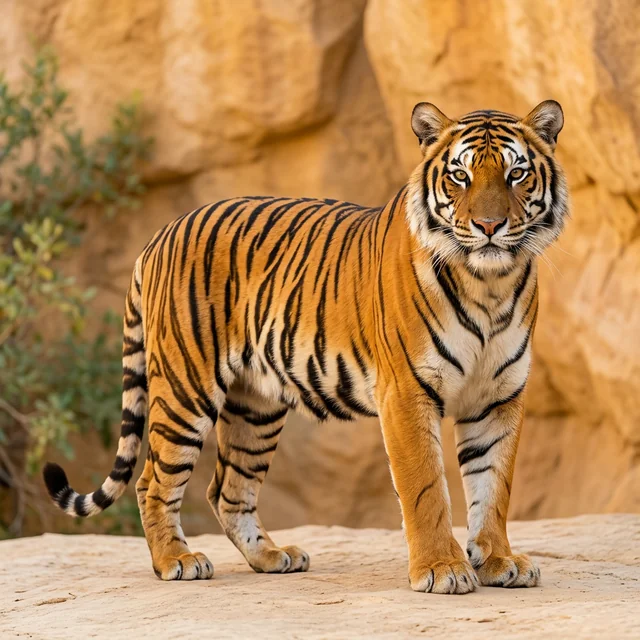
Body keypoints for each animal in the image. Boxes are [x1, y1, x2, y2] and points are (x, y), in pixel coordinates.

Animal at [43, 100, 568, 594]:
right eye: (460, 175)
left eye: (516, 173)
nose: (489, 226)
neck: (489, 284)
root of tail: (159, 235)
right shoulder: (406, 393)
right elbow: (426, 489)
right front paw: (442, 569)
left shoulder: (498, 396)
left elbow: (493, 486)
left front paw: (498, 560)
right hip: (185, 388)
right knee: (153, 481)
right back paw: (177, 560)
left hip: (255, 406)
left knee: (227, 488)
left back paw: (272, 557)